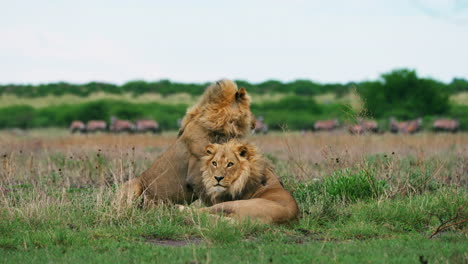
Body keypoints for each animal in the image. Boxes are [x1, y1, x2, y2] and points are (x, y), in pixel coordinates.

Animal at [117, 79, 256, 206]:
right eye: (249, 108)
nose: (255, 123)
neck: (220, 129)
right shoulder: (197, 173)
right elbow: (212, 196)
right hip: (133, 184)